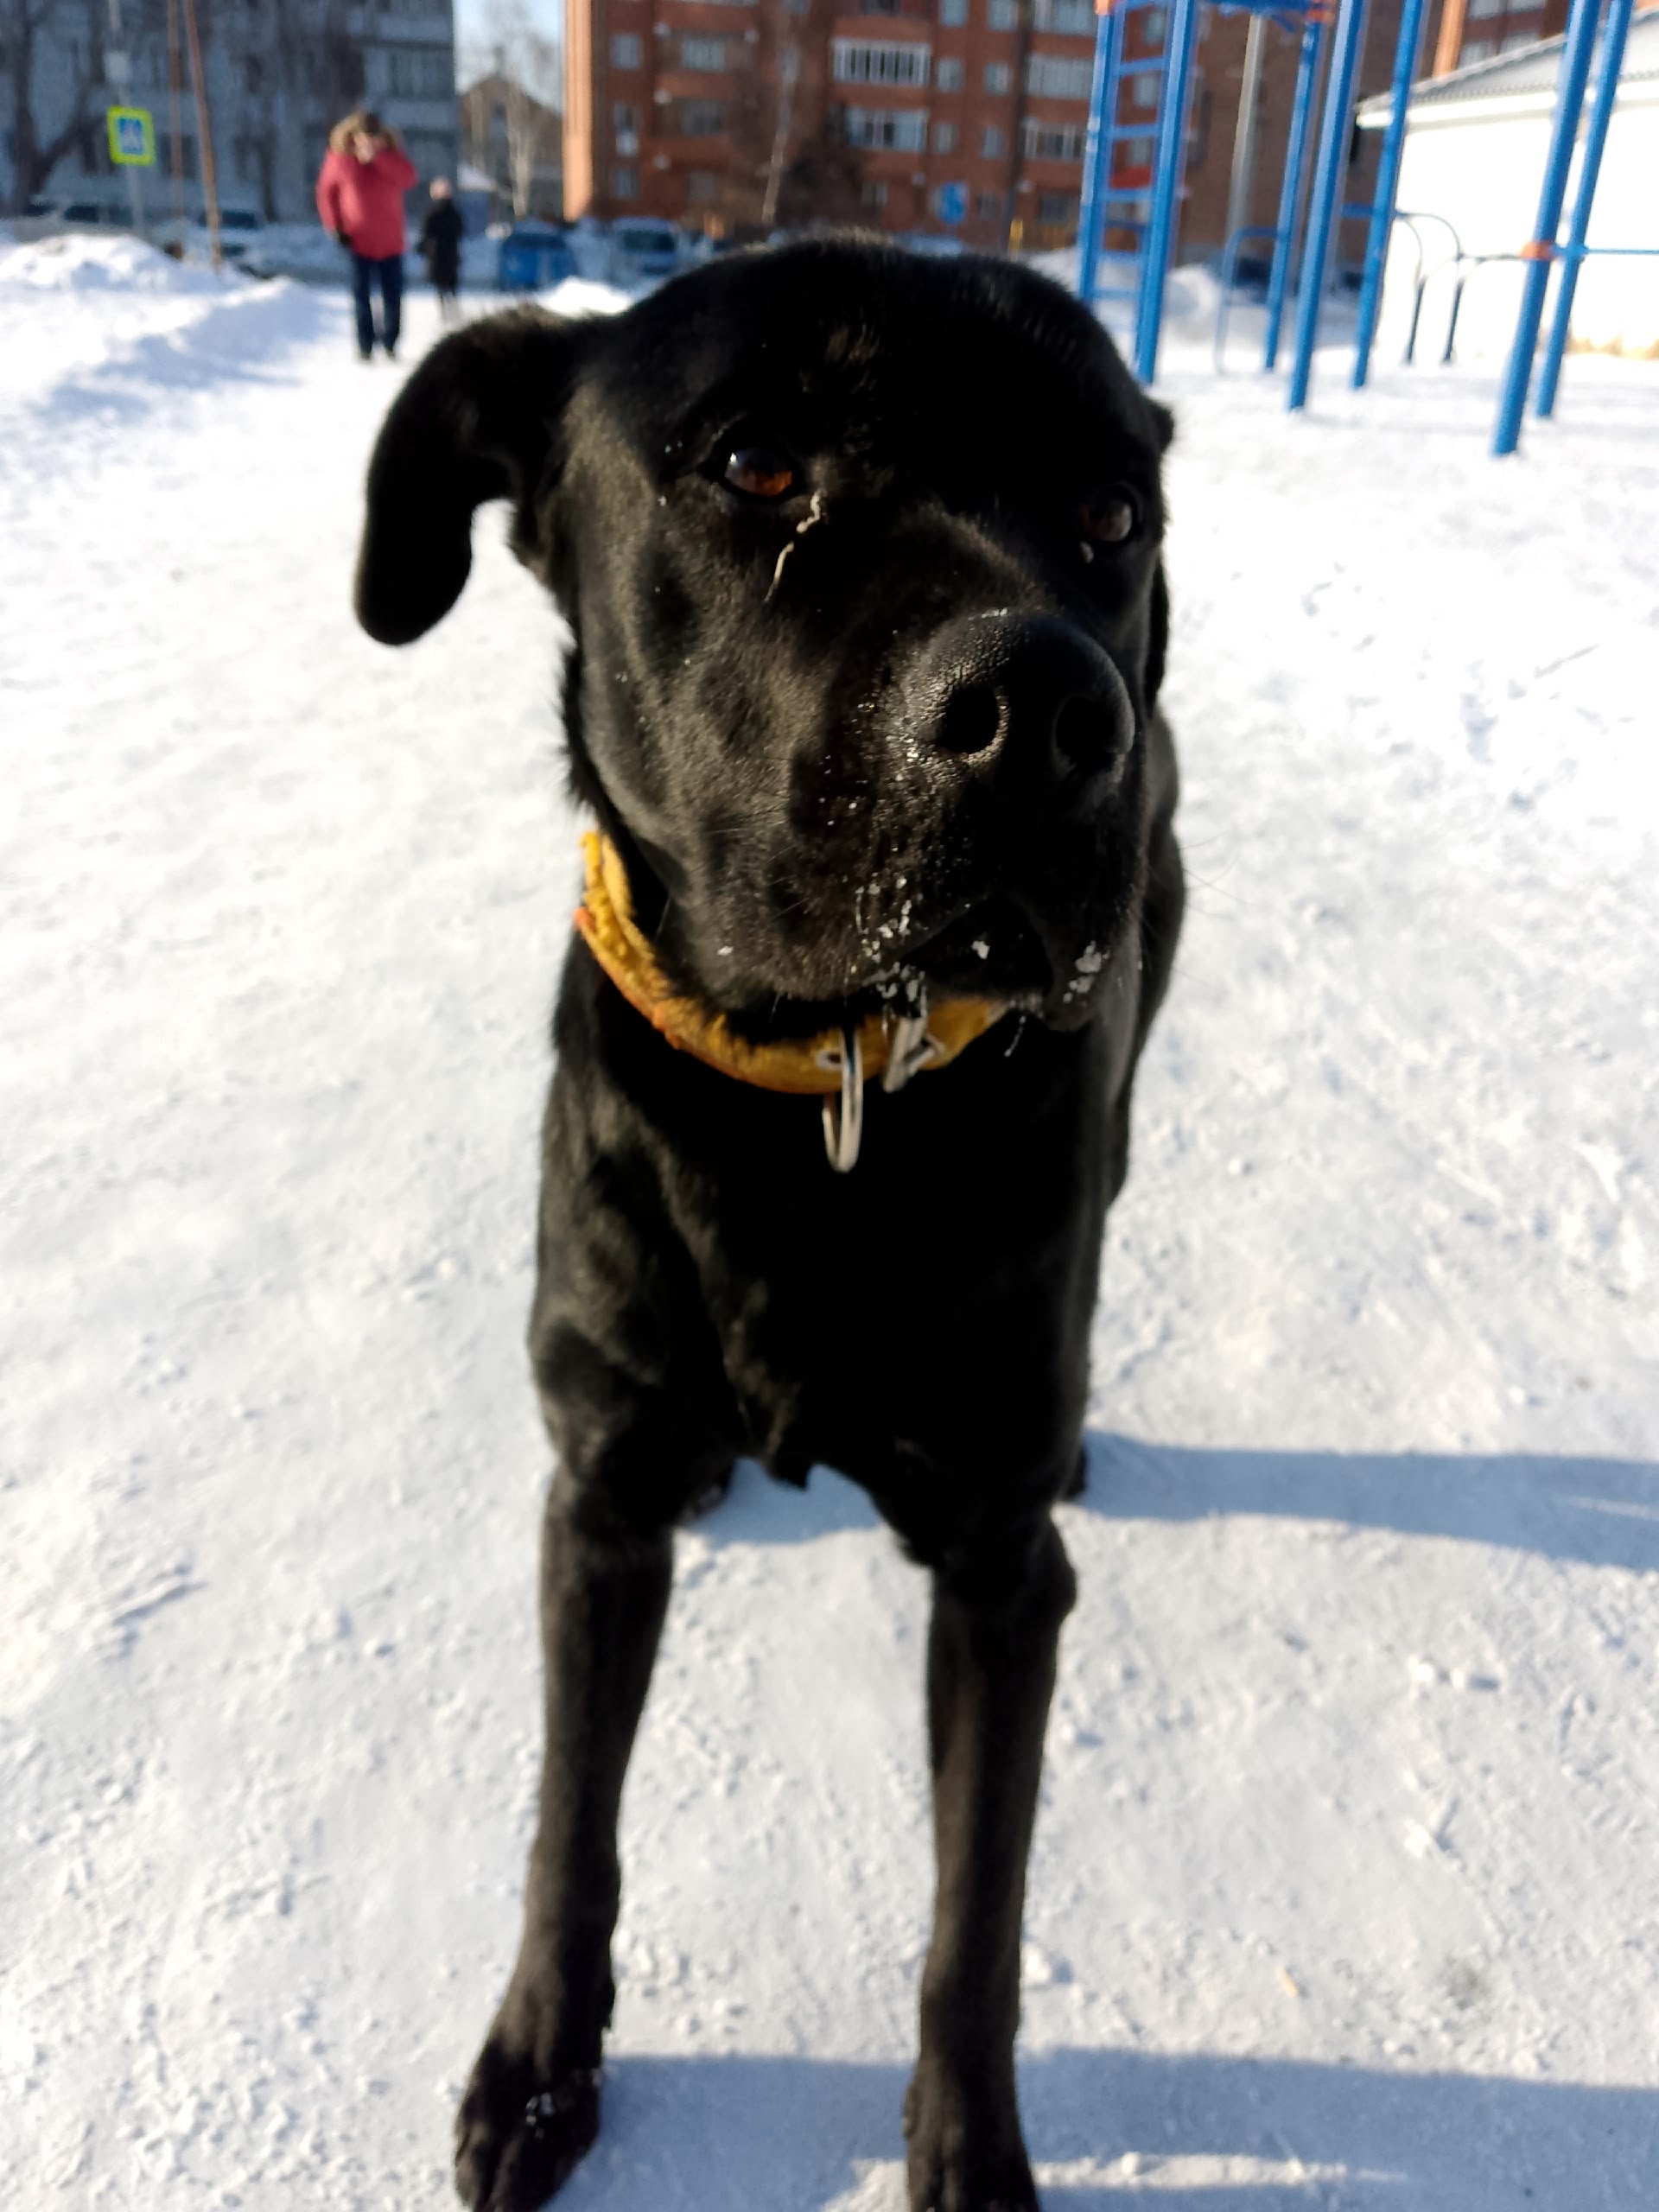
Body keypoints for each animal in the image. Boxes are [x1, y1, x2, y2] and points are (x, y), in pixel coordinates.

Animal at [355, 238, 1183, 2212]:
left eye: (1112, 513)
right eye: (757, 460)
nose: (1053, 715)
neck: (827, 1091)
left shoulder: (1001, 1575)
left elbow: (977, 1910)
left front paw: (970, 2147)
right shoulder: (592, 1502)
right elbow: (569, 1826)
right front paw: (542, 2071)